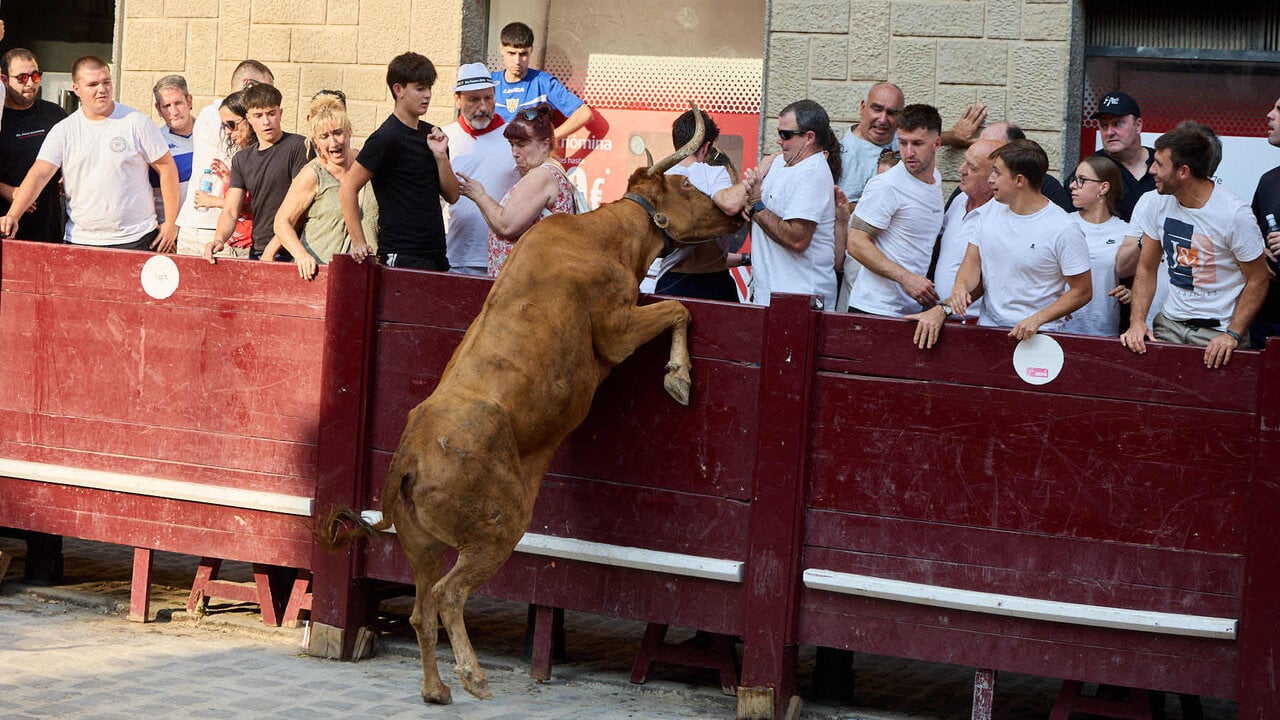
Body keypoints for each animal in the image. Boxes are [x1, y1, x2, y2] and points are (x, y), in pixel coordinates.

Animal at [318, 107, 742, 704]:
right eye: (684, 185)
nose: (736, 210)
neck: (606, 235)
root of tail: (408, 459)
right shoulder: (617, 329)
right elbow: (679, 309)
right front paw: (679, 379)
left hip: (422, 546)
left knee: (423, 610)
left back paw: (437, 690)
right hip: (501, 529)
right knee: (448, 596)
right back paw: (472, 676)